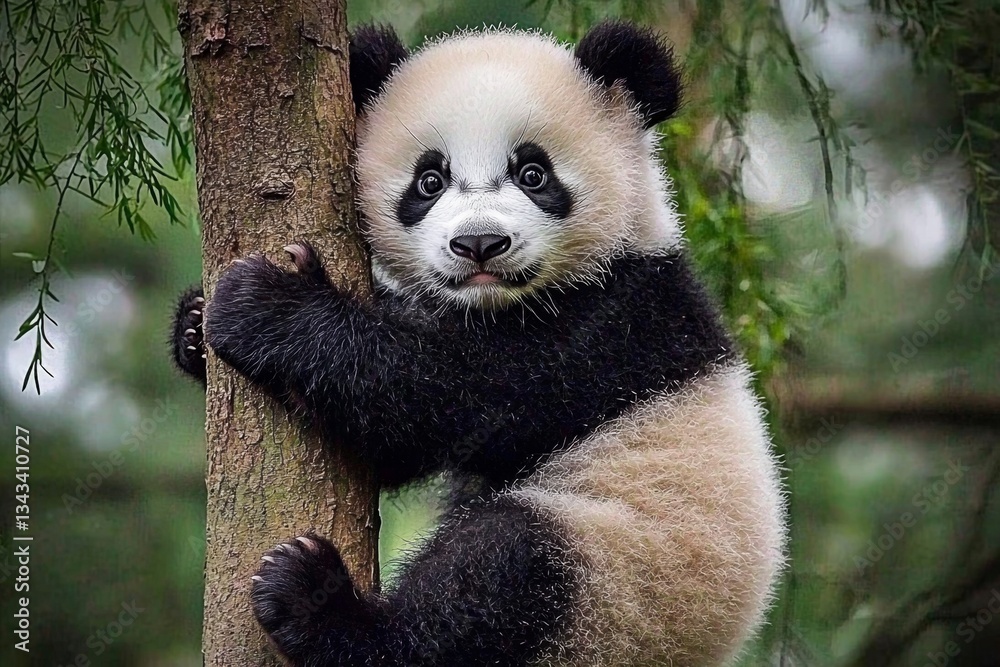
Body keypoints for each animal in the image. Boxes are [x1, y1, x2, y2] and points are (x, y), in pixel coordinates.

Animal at [172, 20, 785, 667]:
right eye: (430, 180)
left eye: (533, 174)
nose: (479, 244)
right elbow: (382, 446)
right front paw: (192, 328)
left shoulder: (608, 326)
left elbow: (442, 396)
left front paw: (265, 304)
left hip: (617, 580)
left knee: (496, 577)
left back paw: (318, 604)